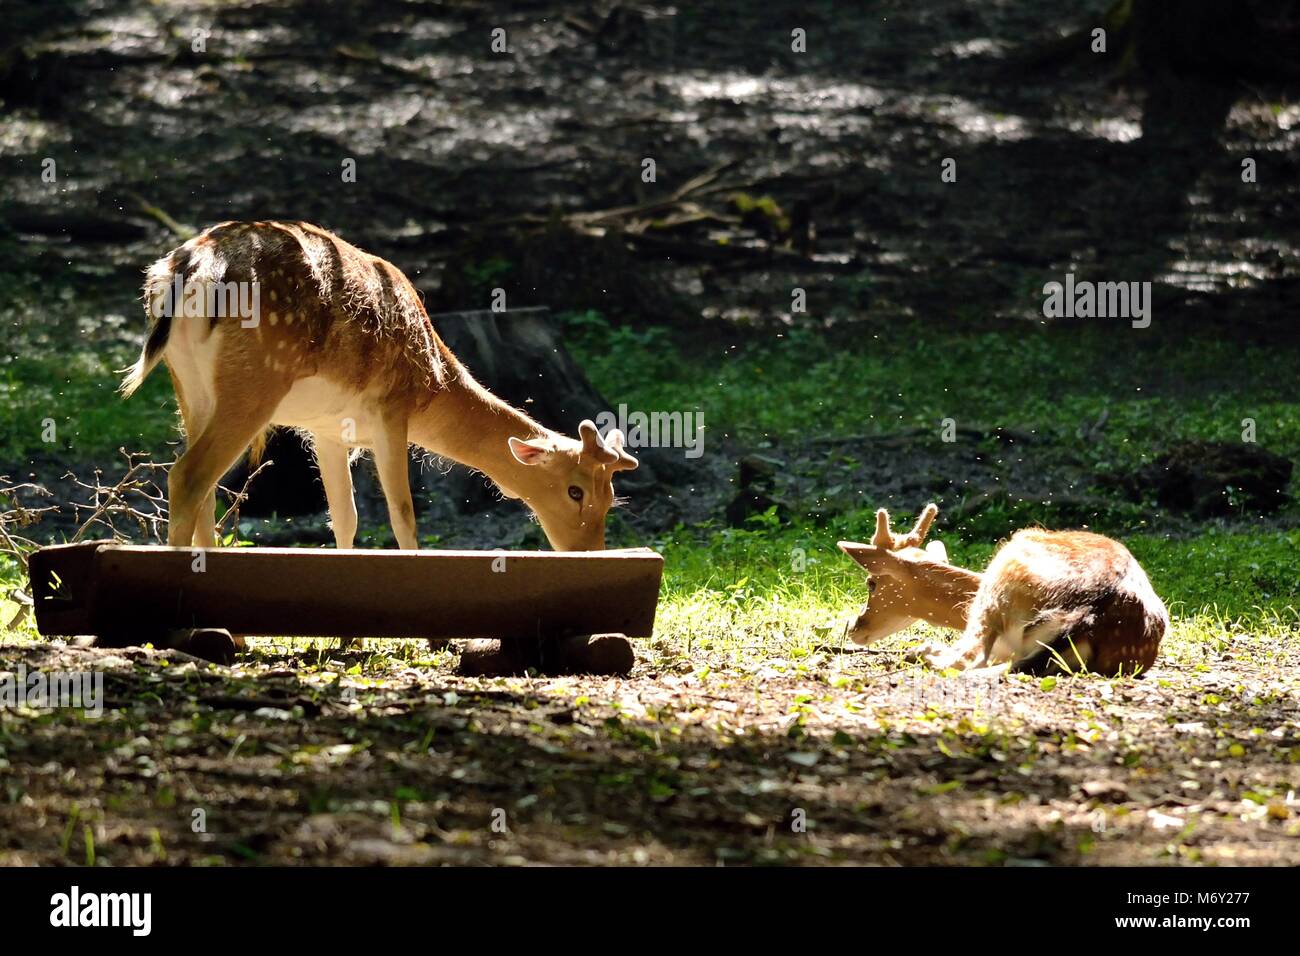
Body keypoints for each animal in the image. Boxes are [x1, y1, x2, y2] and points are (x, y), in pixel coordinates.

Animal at [120, 219, 638, 565]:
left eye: (612, 496)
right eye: (575, 490)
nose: (589, 550)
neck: (433, 383)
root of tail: (189, 267)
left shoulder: (326, 429)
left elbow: (345, 516)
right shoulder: (391, 408)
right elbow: (403, 514)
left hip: (188, 385)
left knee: (203, 487)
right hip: (254, 381)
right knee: (188, 476)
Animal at [837, 504, 1168, 676]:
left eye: (872, 582)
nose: (854, 627)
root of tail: (1088, 613)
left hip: (1001, 578)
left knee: (968, 659)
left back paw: (924, 653)